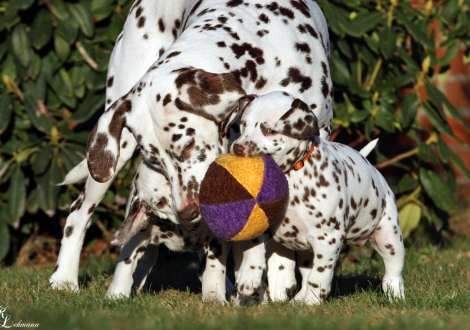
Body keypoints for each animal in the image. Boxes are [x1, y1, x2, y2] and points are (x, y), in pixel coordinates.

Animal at [49, 0, 332, 302]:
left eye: (187, 146)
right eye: (155, 161)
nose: (187, 211)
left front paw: (288, 280)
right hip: (113, 152)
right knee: (79, 210)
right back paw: (64, 278)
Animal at [230, 91, 404, 306]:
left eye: (270, 130)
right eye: (243, 124)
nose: (237, 148)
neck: (291, 176)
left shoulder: (328, 239)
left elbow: (319, 276)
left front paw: (313, 301)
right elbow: (253, 248)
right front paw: (248, 277)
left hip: (389, 237)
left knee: (393, 272)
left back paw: (395, 297)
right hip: (307, 253)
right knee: (305, 275)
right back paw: (298, 300)